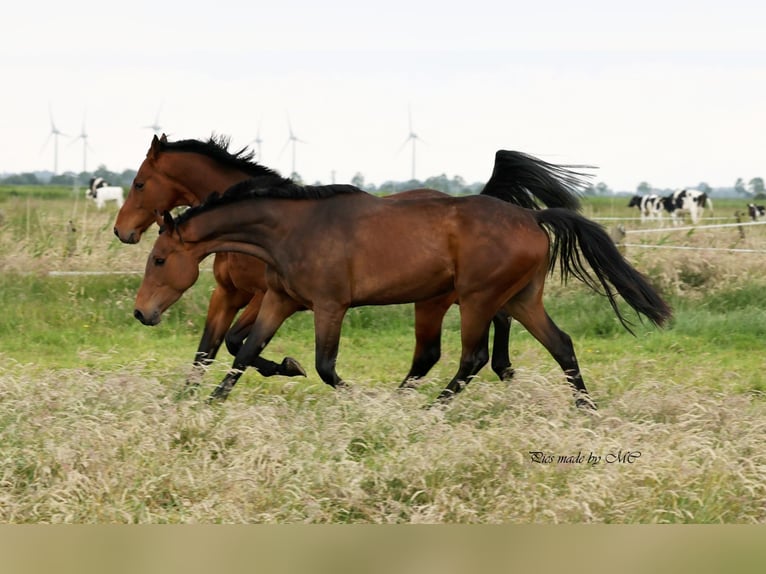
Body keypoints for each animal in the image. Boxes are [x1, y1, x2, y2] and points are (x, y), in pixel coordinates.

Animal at [112, 136, 588, 388]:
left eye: (139, 183)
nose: (122, 231)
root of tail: (526, 217)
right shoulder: (235, 294)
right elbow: (215, 348)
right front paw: (191, 401)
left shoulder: (283, 298)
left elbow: (238, 345)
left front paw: (289, 368)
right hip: (472, 297)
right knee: (534, 340)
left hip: (461, 298)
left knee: (466, 350)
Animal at [134, 178, 672, 408]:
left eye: (158, 259)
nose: (142, 314)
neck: (293, 228)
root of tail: (533, 216)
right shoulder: (282, 301)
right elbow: (247, 349)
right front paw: (212, 403)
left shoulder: (330, 306)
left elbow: (326, 367)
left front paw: (365, 401)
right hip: (519, 300)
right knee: (561, 345)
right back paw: (586, 410)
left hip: (478, 300)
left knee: (472, 358)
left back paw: (429, 408)